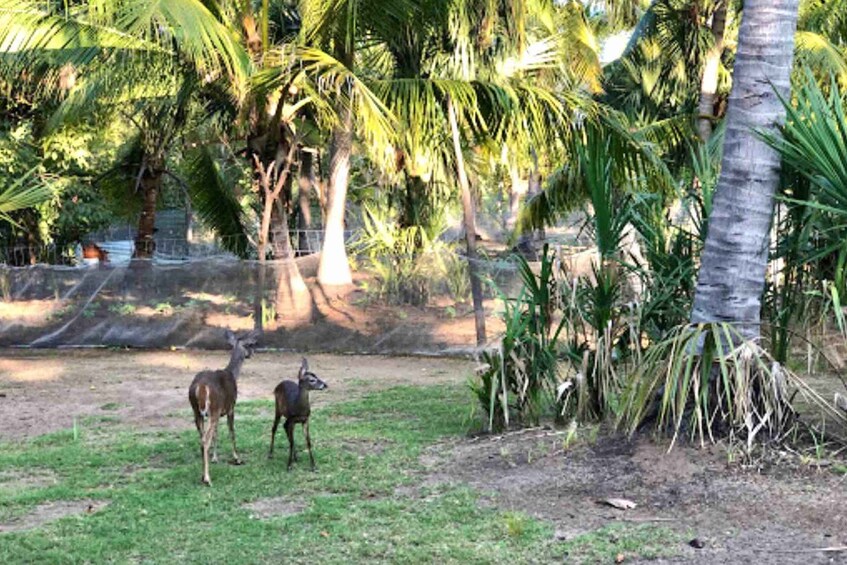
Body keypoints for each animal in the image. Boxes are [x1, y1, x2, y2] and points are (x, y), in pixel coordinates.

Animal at [188, 328, 258, 486]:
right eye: (250, 344)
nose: (252, 353)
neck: (233, 374)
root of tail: (201, 387)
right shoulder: (231, 407)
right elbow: (232, 432)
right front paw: (237, 458)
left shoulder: (219, 411)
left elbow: (216, 433)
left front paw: (215, 458)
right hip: (212, 409)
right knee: (205, 440)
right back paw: (207, 479)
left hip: (197, 412)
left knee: (202, 438)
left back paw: (203, 475)